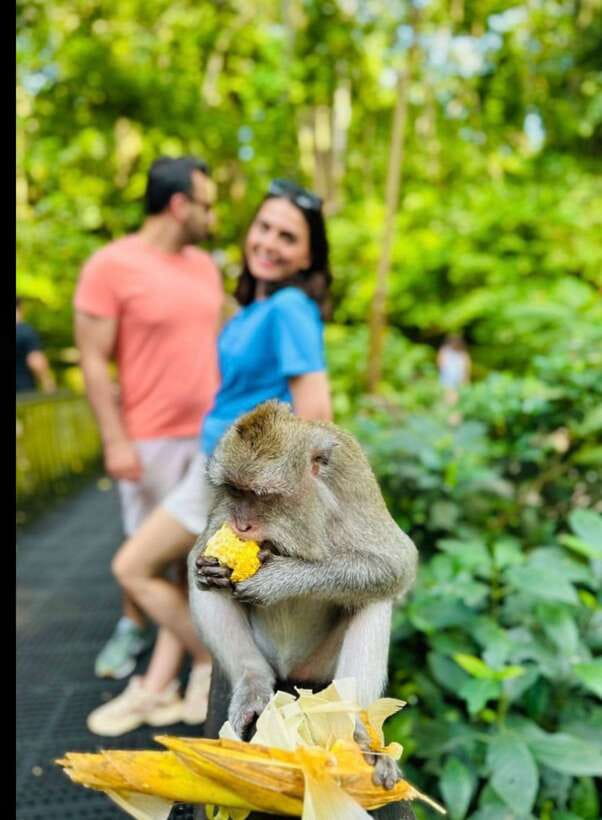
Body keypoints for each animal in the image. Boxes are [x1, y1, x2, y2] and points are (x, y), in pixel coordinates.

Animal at [188, 401, 418, 820]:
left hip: (319, 669)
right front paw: (213, 569)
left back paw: (358, 735)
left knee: (376, 598)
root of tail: (291, 671)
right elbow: (198, 560)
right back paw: (253, 684)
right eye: (235, 491)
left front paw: (279, 578)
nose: (240, 523)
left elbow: (396, 563)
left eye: (260, 495)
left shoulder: (351, 482)